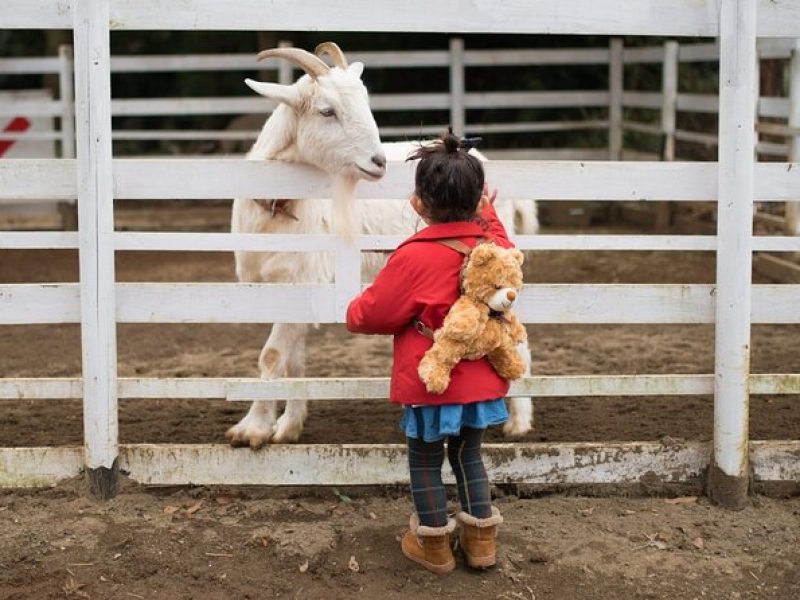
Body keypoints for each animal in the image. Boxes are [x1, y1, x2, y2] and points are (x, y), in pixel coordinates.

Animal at [227, 43, 536, 446]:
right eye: (326, 110)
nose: (377, 162)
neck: (277, 209)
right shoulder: (277, 286)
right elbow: (293, 359)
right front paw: (287, 428)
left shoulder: (302, 278)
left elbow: (272, 355)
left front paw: (252, 429)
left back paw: (520, 422)